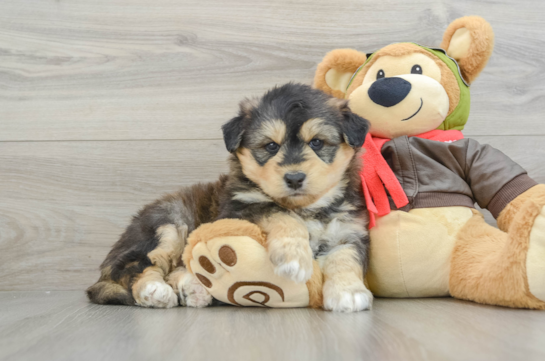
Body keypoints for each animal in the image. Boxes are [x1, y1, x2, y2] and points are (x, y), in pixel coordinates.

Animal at [87, 83, 372, 310]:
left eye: (317, 143)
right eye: (271, 146)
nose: (294, 178)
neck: (306, 208)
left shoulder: (348, 232)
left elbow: (346, 258)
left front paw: (349, 292)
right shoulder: (240, 209)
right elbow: (280, 213)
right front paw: (294, 259)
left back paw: (195, 289)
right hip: (168, 224)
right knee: (137, 267)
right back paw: (154, 292)